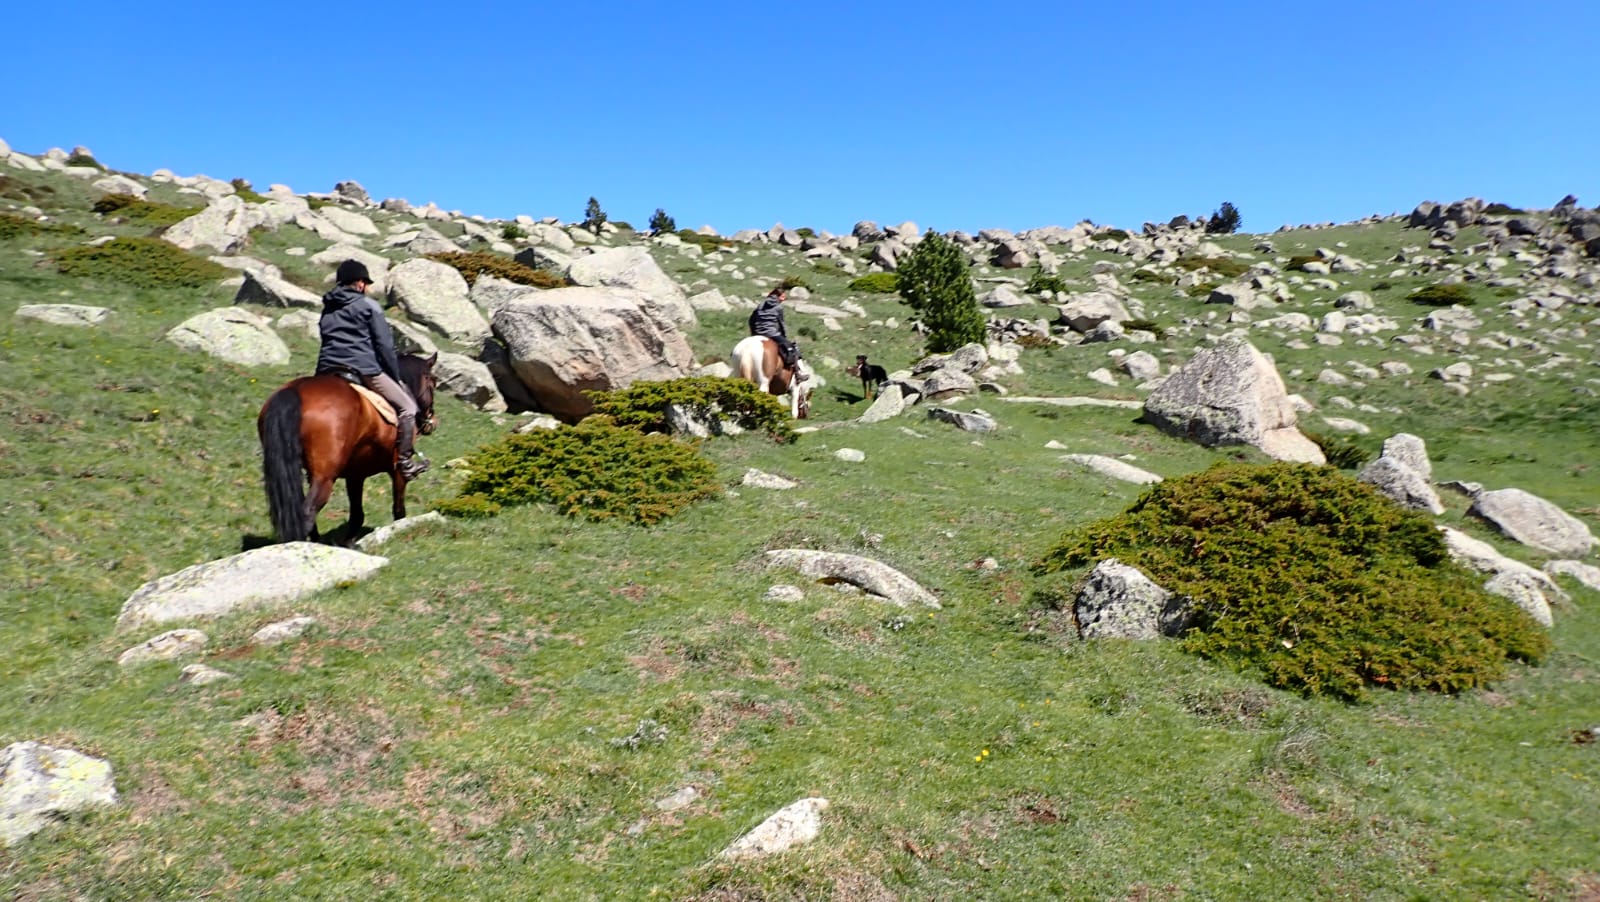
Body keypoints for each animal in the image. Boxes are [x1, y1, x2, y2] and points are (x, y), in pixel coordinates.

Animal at [257, 353, 438, 544]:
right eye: (433, 382)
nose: (432, 421)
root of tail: (296, 391)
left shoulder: (355, 474)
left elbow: (357, 514)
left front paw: (349, 542)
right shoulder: (397, 471)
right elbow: (398, 510)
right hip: (325, 478)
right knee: (307, 513)